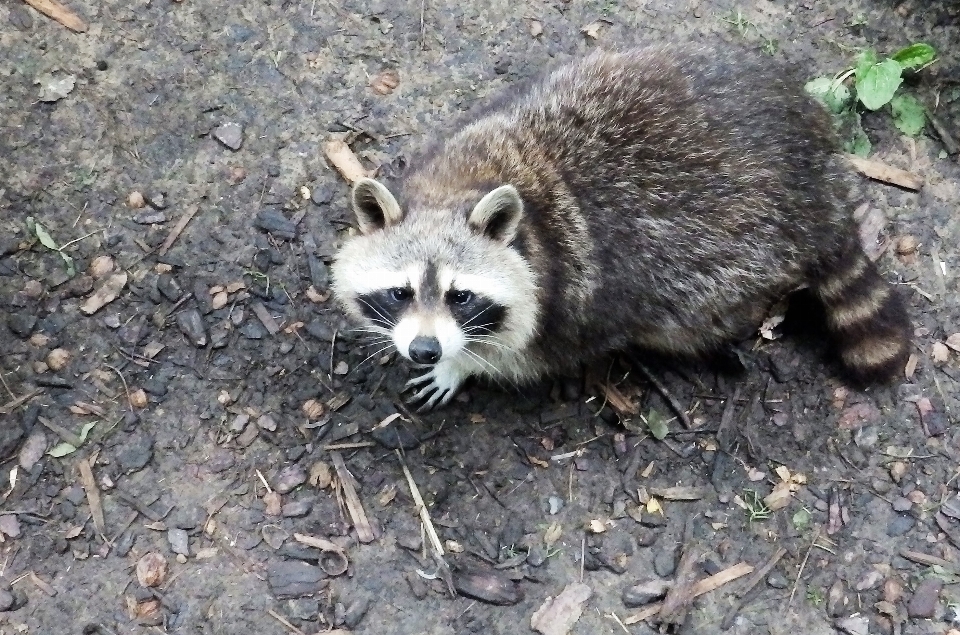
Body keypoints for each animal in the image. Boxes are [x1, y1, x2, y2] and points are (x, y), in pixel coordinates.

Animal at [330, 46, 908, 412]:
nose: (425, 349)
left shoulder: (568, 305)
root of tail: (821, 179)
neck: (460, 188)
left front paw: (462, 366)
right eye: (400, 292)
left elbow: (523, 359)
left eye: (461, 297)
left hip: (738, 263)